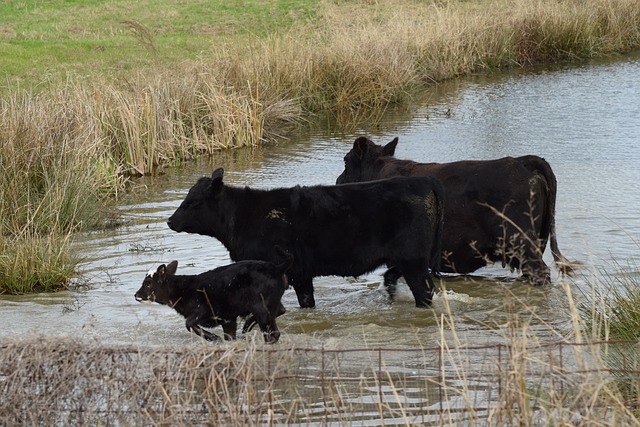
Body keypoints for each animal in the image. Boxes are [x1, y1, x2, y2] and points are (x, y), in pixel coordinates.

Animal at [137, 247, 296, 344]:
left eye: (148, 283)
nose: (136, 295)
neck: (183, 289)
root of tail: (276, 267)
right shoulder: (228, 319)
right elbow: (229, 337)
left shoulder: (203, 311)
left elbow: (189, 324)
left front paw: (213, 337)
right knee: (281, 311)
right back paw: (248, 325)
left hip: (261, 308)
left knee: (273, 334)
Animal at [168, 169, 442, 310]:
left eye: (192, 202)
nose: (170, 221)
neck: (244, 217)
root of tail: (423, 180)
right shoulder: (302, 274)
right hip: (406, 260)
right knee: (393, 277)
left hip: (414, 262)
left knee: (424, 293)